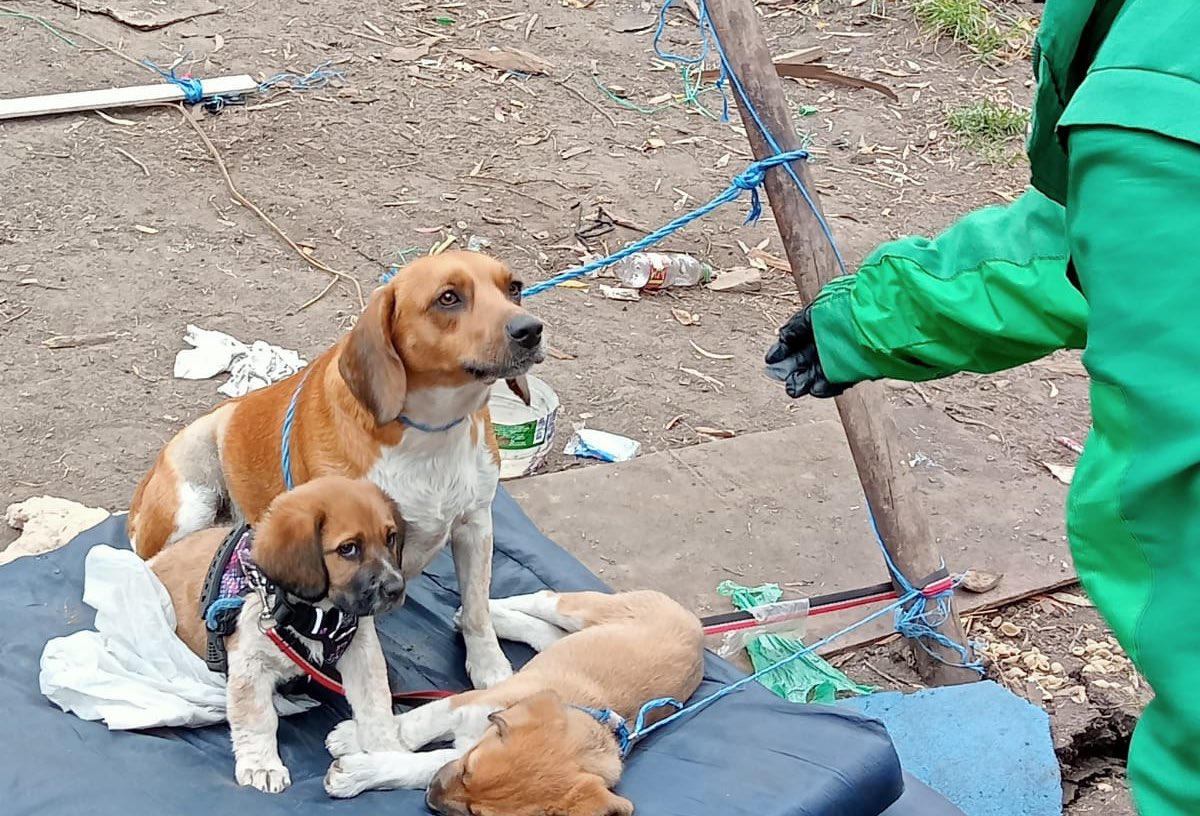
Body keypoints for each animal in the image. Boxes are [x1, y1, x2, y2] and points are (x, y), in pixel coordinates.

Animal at [130, 252, 544, 691]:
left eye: (514, 288)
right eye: (448, 297)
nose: (531, 329)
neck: (431, 432)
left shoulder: (474, 525)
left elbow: (477, 608)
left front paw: (490, 671)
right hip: (190, 504)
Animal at [148, 475, 412, 792]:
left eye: (391, 538)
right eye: (349, 549)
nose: (396, 589)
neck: (317, 614)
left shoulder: (362, 654)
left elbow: (376, 707)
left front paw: (387, 754)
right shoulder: (250, 665)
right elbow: (258, 719)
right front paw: (262, 766)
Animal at [324, 590, 705, 811]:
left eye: (476, 812)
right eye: (468, 768)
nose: (431, 797)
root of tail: (697, 627)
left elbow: (414, 764)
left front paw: (358, 772)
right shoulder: (465, 703)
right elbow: (414, 727)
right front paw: (356, 738)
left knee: (546, 632)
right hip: (578, 609)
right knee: (543, 597)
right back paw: (481, 610)